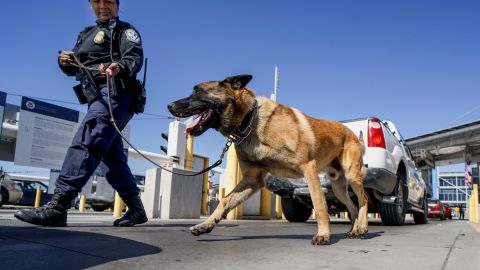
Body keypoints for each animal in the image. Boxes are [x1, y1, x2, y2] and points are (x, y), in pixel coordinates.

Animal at [168, 74, 368, 245]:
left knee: (363, 199)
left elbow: (319, 206)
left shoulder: (308, 168)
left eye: (197, 91)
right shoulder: (252, 179)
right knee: (353, 207)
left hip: (352, 176)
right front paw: (205, 225)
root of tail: (352, 134)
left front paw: (324, 235)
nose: (169, 105)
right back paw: (353, 230)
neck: (250, 120)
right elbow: (225, 201)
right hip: (338, 187)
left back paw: (363, 228)